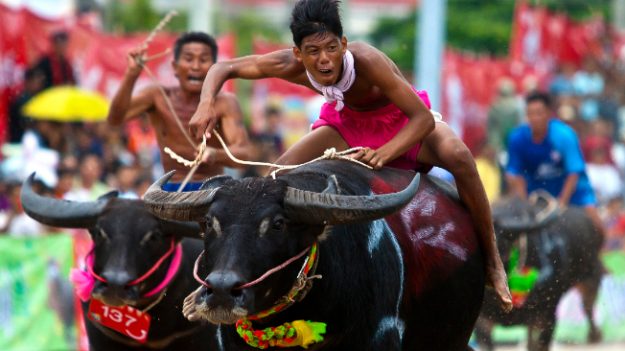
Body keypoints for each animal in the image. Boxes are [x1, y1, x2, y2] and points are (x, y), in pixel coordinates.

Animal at [476, 194, 604, 350]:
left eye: (496, 239)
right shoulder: (482, 322)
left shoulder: (545, 318)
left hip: (592, 276)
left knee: (588, 305)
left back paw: (594, 335)